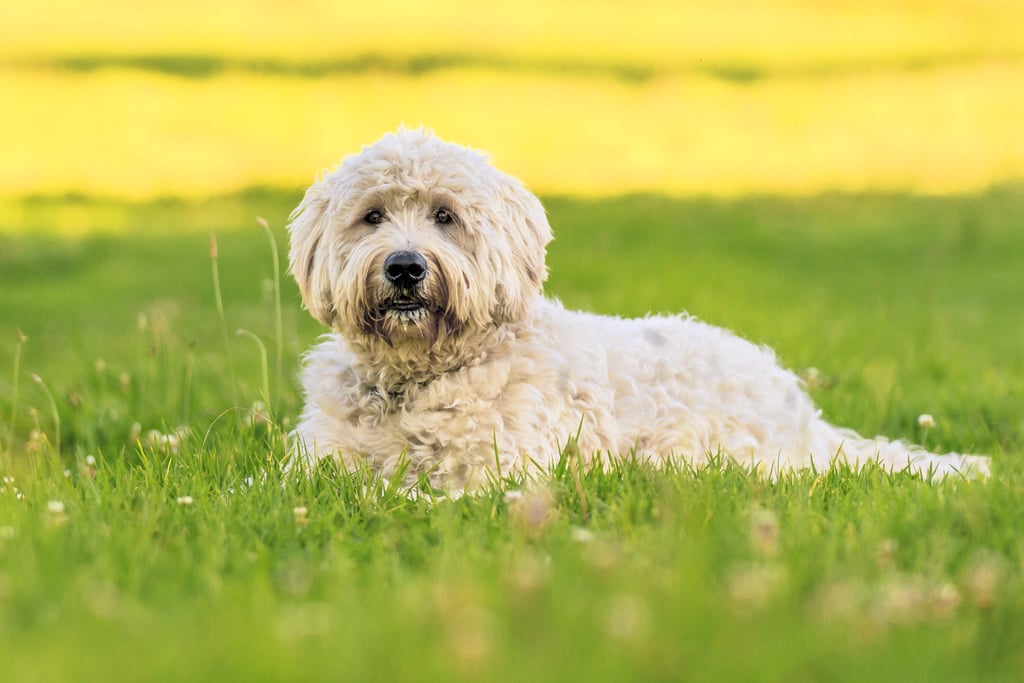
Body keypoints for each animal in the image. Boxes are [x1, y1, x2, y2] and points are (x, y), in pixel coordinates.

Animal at [284, 127, 987, 489]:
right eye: (373, 216)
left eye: (445, 217)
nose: (405, 267)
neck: (417, 378)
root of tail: (803, 410)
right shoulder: (317, 461)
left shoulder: (491, 472)